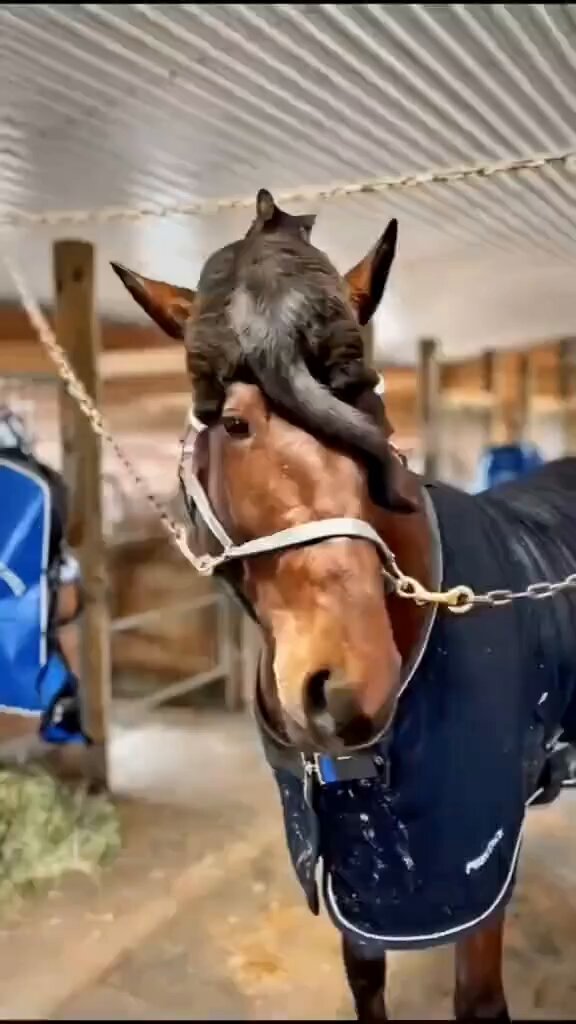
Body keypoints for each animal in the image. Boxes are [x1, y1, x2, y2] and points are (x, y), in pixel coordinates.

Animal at [113, 194, 576, 1021]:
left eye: (372, 410)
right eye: (234, 422)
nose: (348, 686)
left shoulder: (473, 881)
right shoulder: (359, 881)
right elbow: (365, 980)